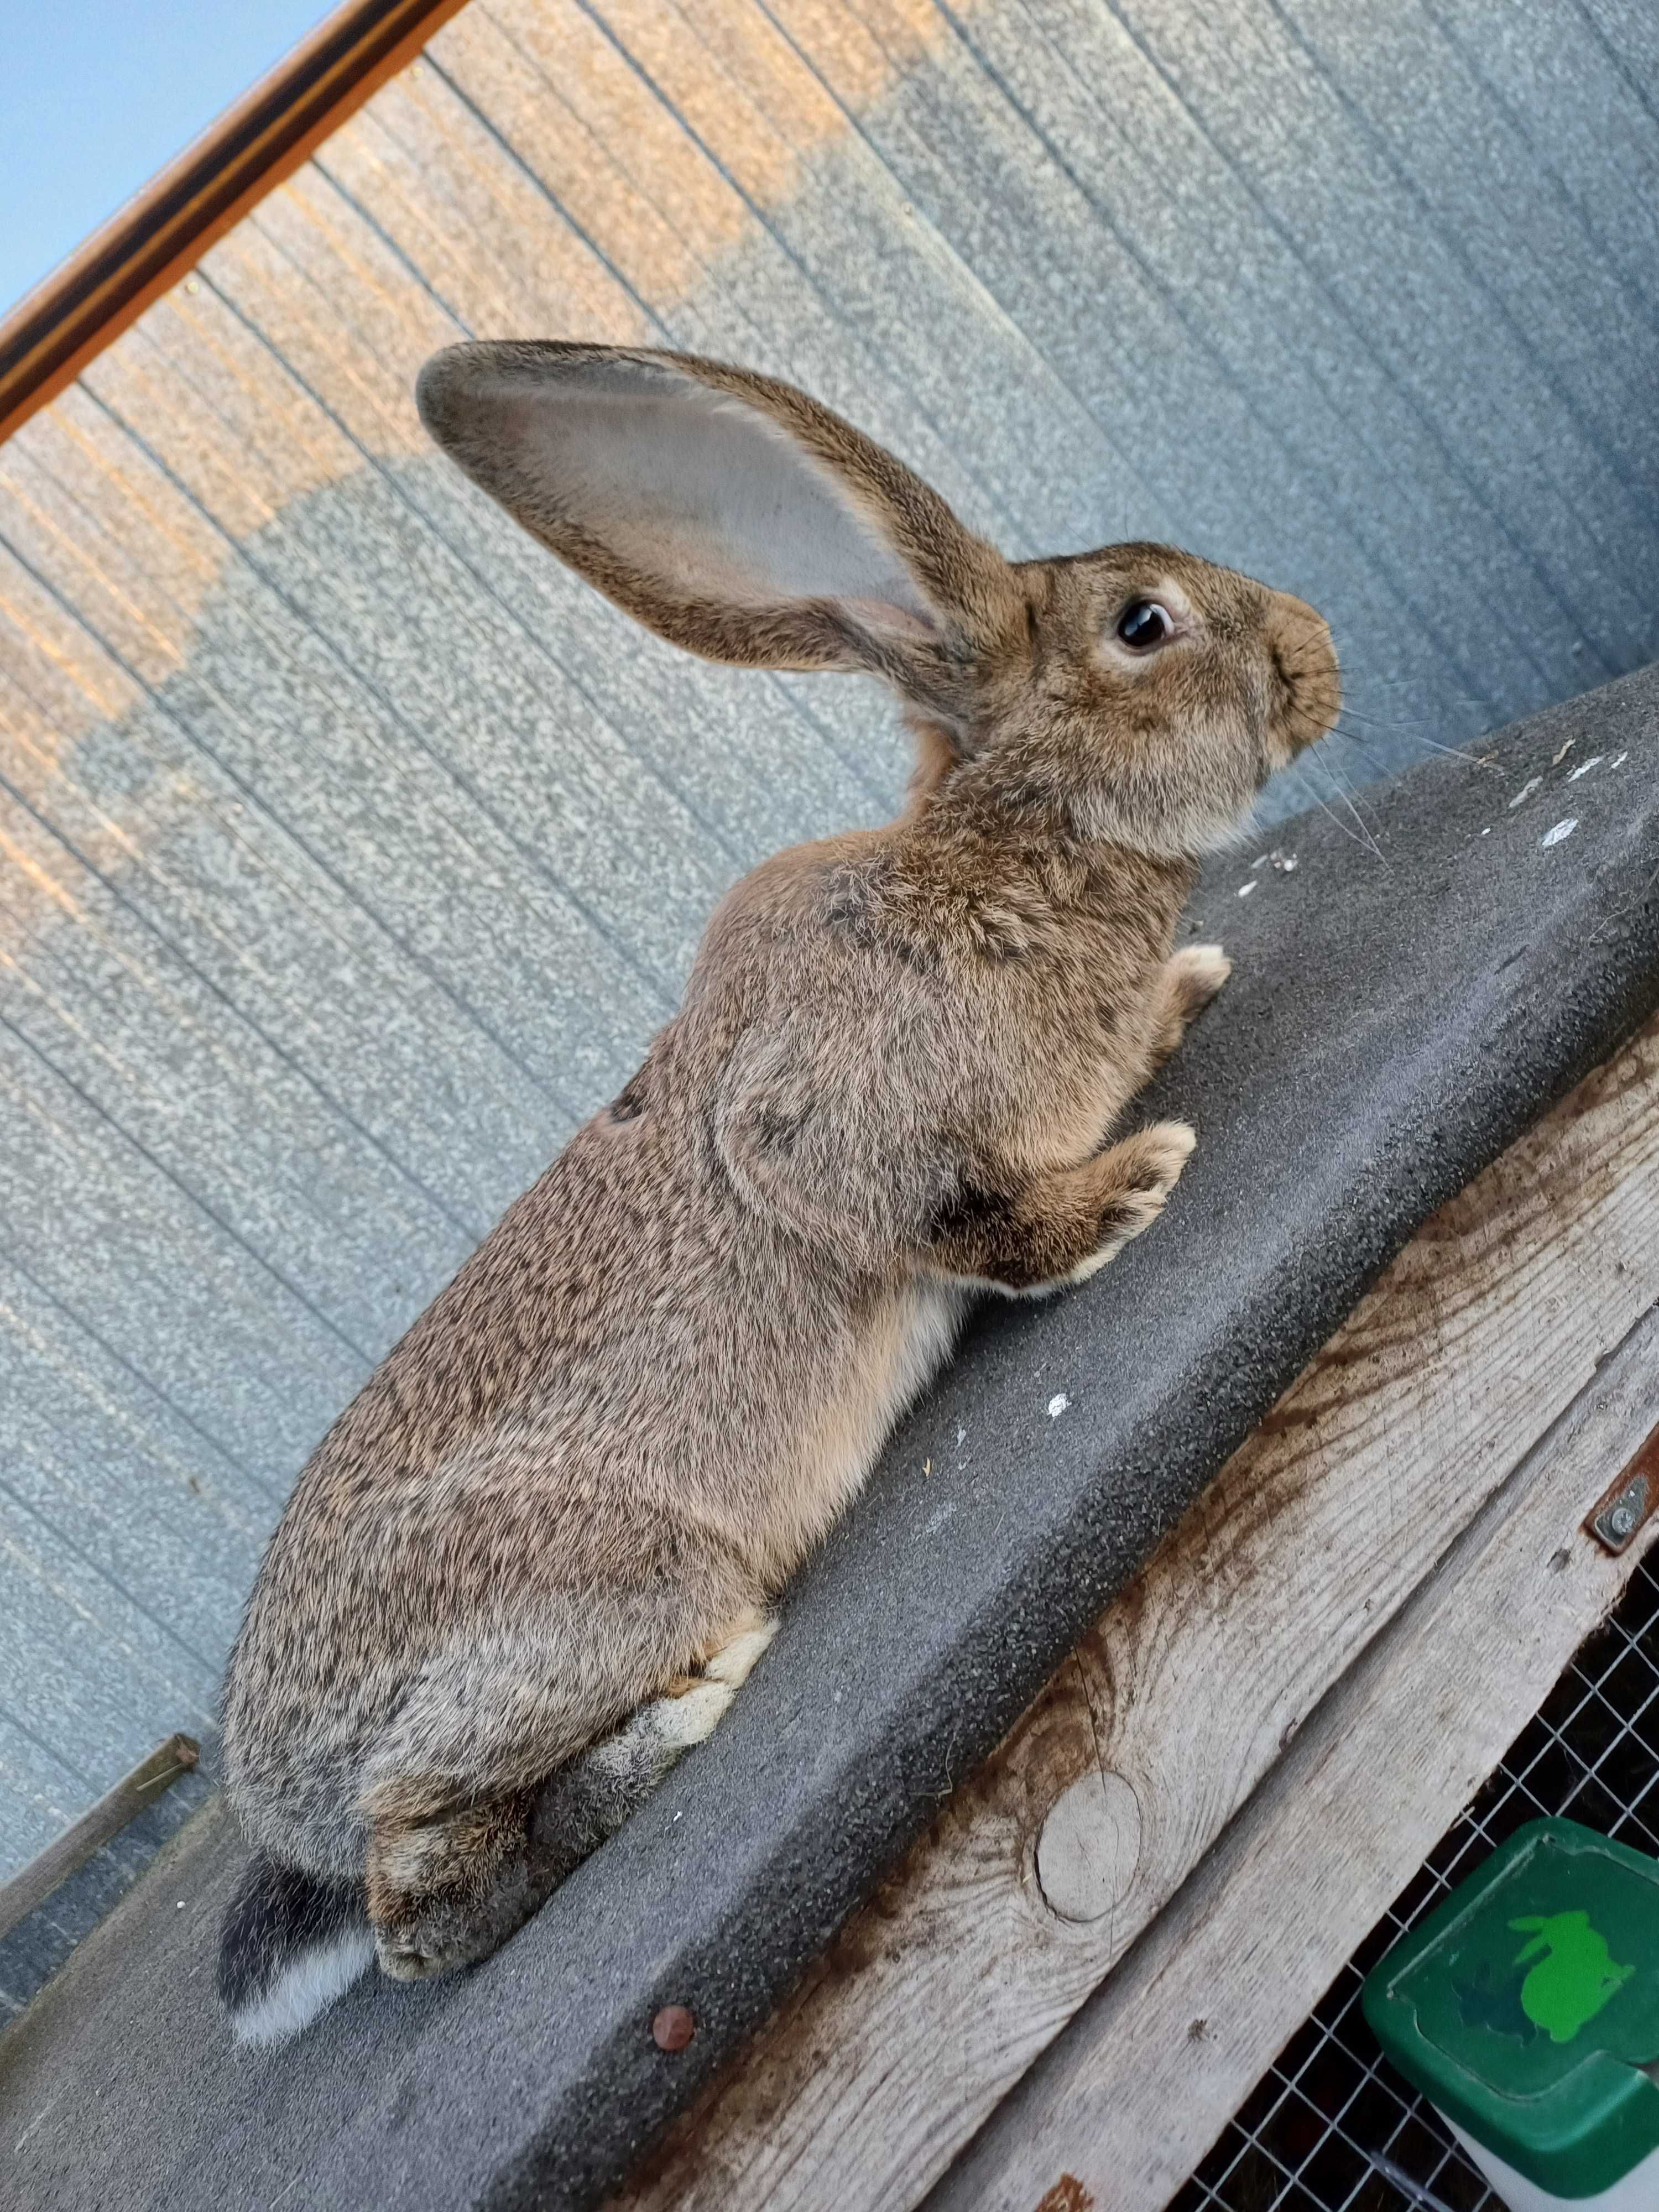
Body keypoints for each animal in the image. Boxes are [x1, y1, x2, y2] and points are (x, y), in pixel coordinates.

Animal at [218, 336, 1336, 2044]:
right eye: (1145, 623)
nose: (1318, 658)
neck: (1005, 838)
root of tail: (270, 1801)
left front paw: (1184, 991)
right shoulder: (821, 1120)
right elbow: (949, 1214)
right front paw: (1123, 1191)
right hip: (625, 1578)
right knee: (419, 1903)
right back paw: (679, 1721)